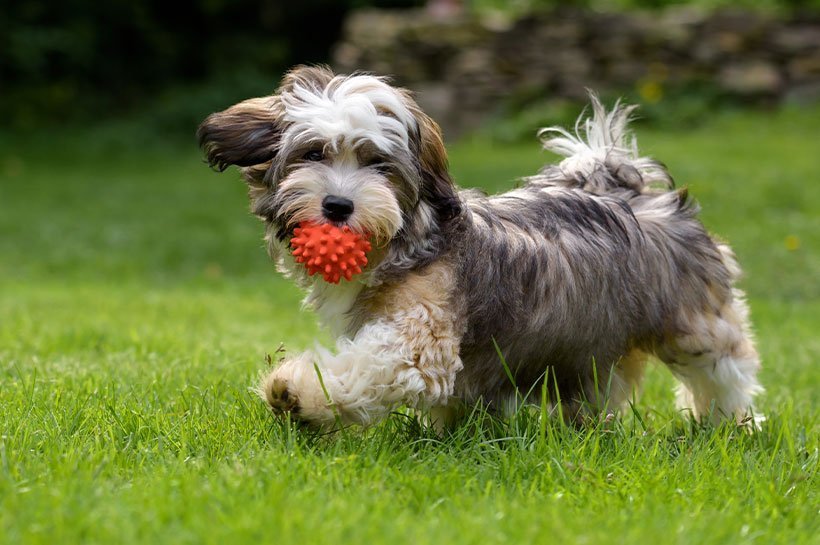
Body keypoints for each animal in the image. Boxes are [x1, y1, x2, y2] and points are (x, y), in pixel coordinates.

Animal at [197, 63, 764, 428]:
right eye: (313, 153)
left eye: (378, 164)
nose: (338, 206)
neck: (404, 245)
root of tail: (631, 191)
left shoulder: (417, 339)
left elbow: (368, 367)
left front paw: (296, 392)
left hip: (693, 320)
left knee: (724, 367)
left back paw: (731, 424)